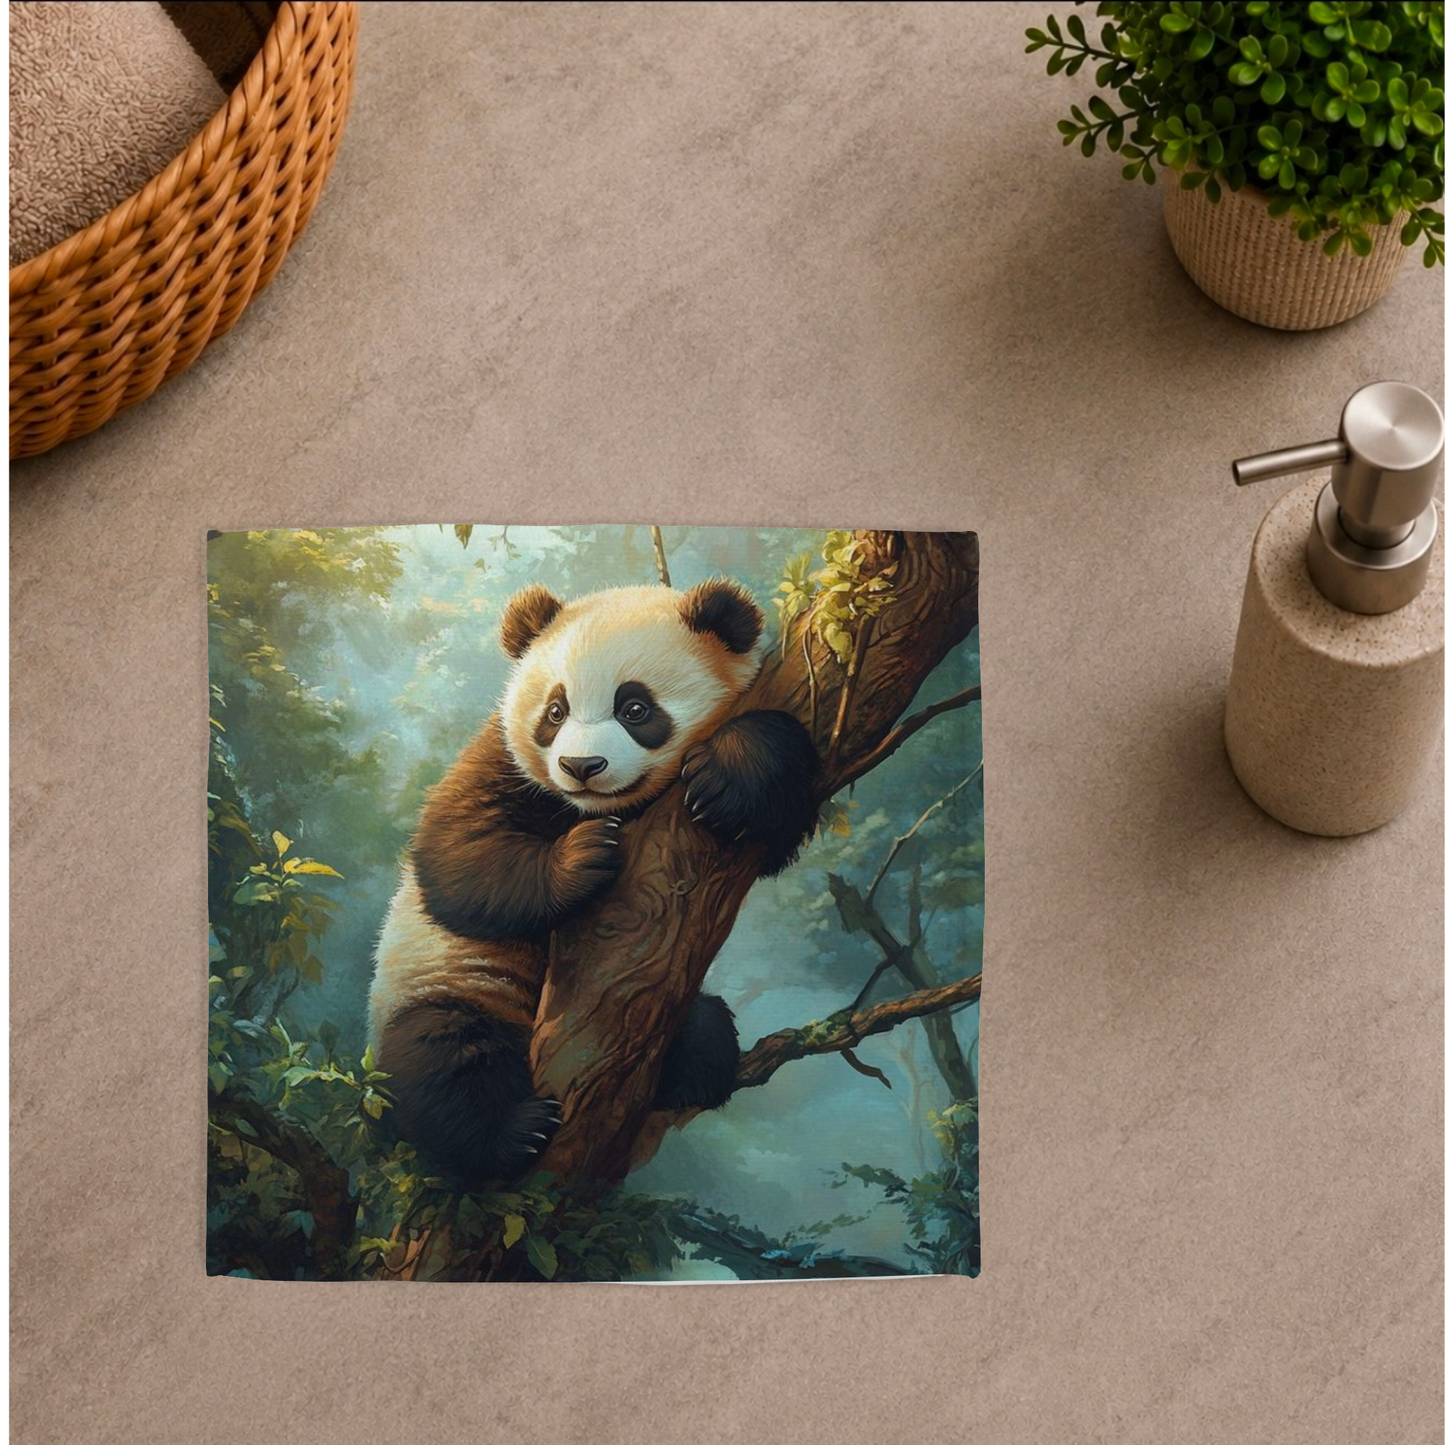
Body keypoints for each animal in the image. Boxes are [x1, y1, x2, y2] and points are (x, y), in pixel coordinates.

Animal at [368, 577, 819, 1187]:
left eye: (635, 708)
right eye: (554, 711)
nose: (582, 767)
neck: (608, 808)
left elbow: (770, 825)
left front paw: (730, 773)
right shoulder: (500, 760)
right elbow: (457, 855)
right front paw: (583, 858)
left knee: (702, 1020)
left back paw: (696, 1064)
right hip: (446, 982)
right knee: (439, 1055)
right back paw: (514, 1131)